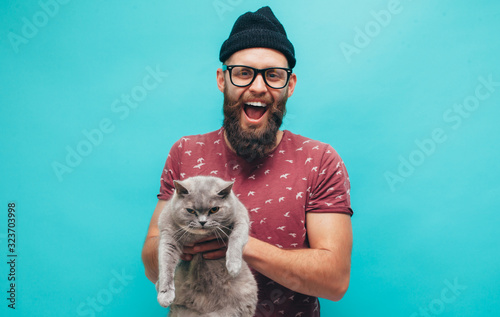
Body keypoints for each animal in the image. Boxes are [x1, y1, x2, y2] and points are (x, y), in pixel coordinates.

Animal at [156, 175, 258, 316]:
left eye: (214, 209)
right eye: (190, 210)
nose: (202, 222)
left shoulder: (241, 218)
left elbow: (236, 238)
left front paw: (233, 266)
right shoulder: (168, 236)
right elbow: (166, 265)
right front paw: (165, 295)